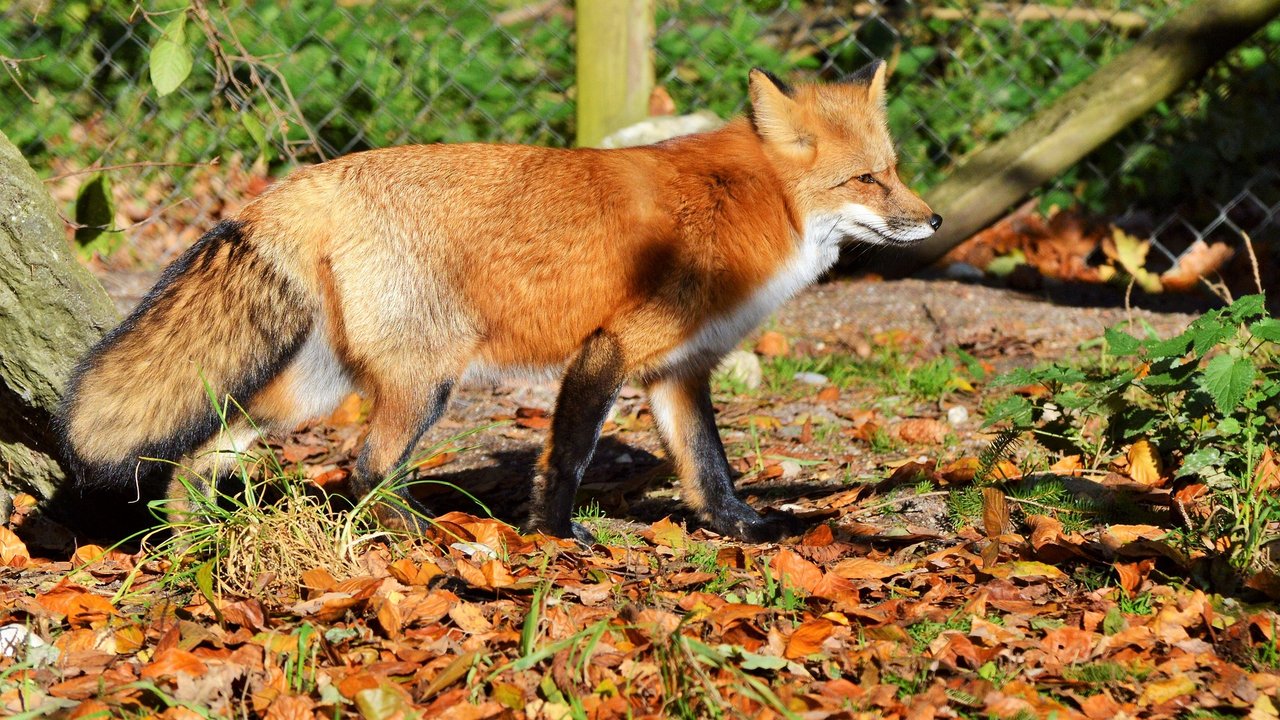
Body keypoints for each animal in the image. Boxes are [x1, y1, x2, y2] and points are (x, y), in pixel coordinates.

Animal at [57, 63, 942, 538]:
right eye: (867, 179)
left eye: (895, 170)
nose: (933, 219)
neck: (752, 202)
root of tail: (310, 179)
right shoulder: (608, 347)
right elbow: (570, 456)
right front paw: (553, 536)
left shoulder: (677, 370)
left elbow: (710, 468)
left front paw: (745, 530)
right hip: (425, 382)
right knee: (366, 470)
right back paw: (426, 537)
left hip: (316, 387)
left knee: (210, 449)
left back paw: (194, 533)